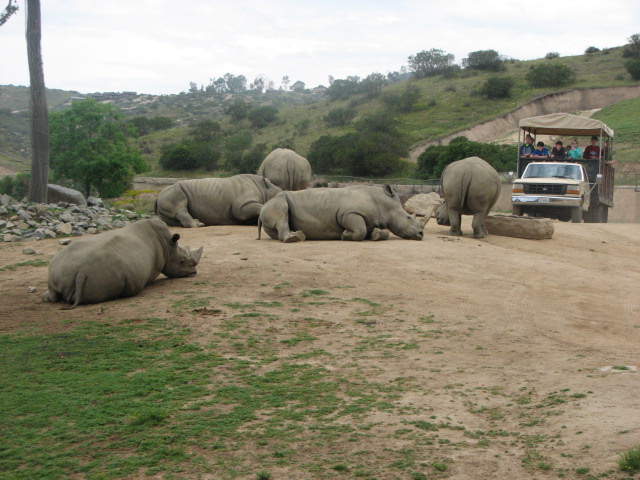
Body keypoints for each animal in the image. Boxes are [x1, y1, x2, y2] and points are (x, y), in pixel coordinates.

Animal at [43, 218, 203, 308]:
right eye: (182, 261)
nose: (194, 273)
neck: (168, 247)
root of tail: (81, 271)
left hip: (58, 266)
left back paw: (45, 297)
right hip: (107, 273)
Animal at [258, 184, 426, 242]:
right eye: (408, 217)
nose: (421, 234)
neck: (383, 204)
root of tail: (261, 211)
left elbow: (382, 232)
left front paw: (375, 235)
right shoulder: (349, 213)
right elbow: (360, 230)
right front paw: (345, 235)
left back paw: (298, 235)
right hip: (275, 201)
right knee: (281, 212)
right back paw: (293, 239)